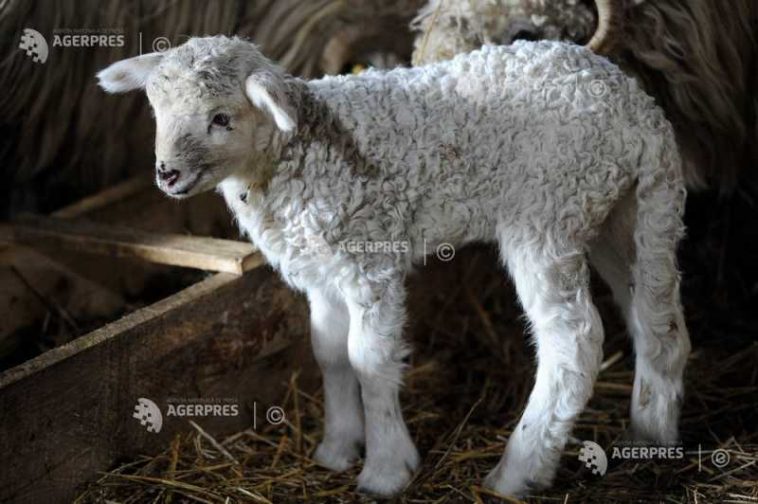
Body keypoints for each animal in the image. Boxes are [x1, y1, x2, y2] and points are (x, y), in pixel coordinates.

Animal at [96, 35, 691, 497]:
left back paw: (517, 470)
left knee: (575, 341)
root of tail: (640, 113)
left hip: (548, 212)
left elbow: (369, 361)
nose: (167, 173)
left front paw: (384, 469)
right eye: (157, 110)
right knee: (658, 323)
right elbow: (329, 354)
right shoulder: (323, 270)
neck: (297, 153)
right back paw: (649, 437)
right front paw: (336, 447)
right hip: (621, 212)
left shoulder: (369, 260)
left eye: (221, 118)